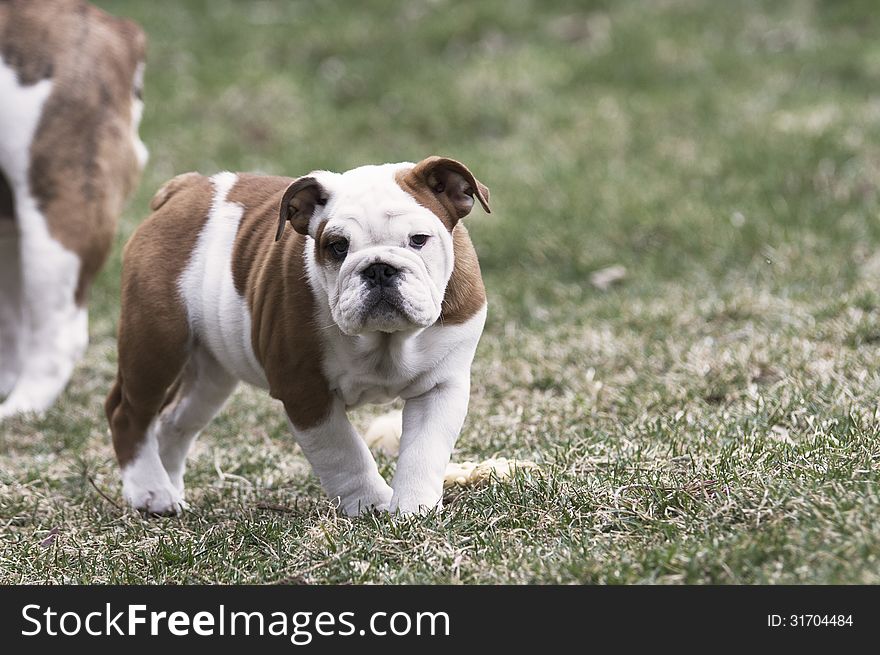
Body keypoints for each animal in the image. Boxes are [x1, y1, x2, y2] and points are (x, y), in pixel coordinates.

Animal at [106, 156, 492, 516]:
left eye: (418, 240)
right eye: (337, 246)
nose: (379, 268)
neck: (385, 339)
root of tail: (185, 189)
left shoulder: (440, 387)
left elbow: (423, 451)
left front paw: (412, 508)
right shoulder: (305, 391)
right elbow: (344, 453)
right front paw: (369, 503)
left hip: (210, 374)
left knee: (174, 422)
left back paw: (169, 488)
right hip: (156, 344)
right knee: (128, 413)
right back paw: (151, 491)